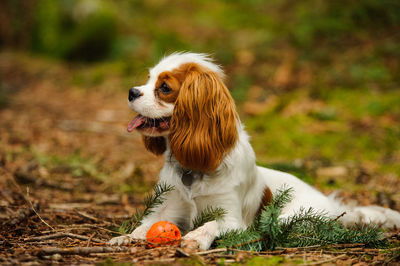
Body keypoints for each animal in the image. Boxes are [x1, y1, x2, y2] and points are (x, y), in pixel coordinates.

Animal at [108, 52, 400, 249]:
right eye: (148, 79)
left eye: (165, 88)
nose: (132, 91)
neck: (193, 167)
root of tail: (331, 204)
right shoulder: (166, 211)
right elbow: (145, 226)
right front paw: (125, 237)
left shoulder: (231, 218)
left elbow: (211, 224)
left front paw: (195, 239)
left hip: (288, 218)